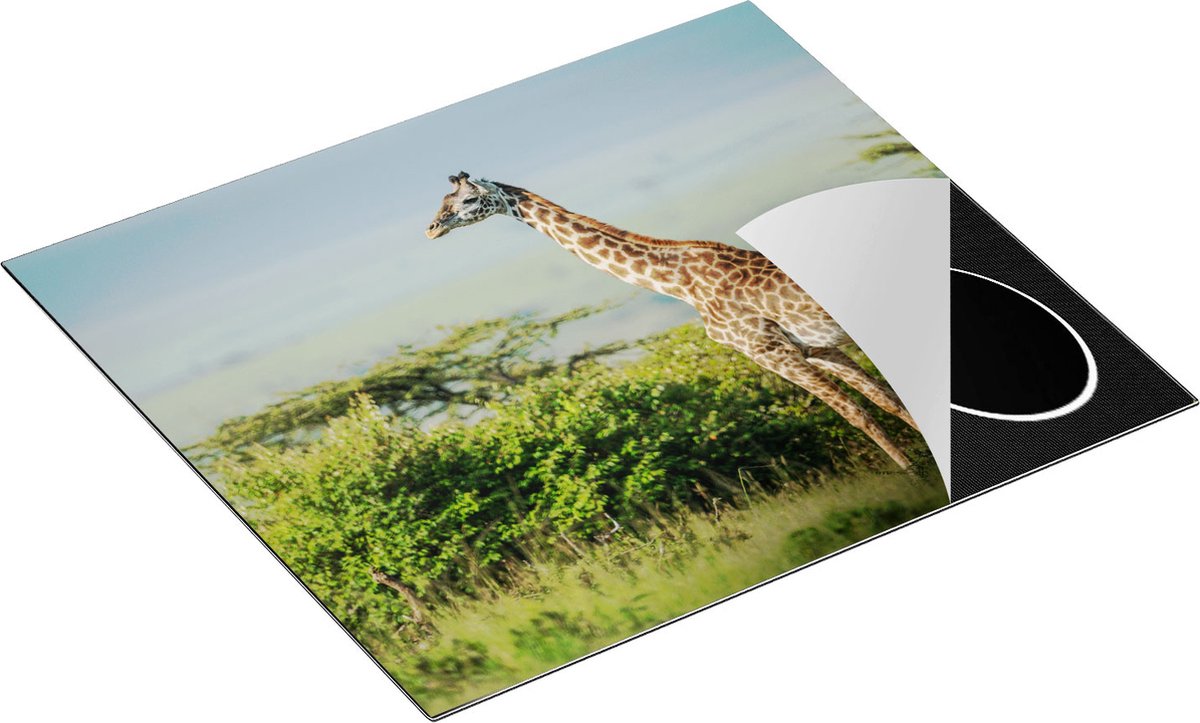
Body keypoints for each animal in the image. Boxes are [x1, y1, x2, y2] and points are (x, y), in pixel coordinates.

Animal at [426, 172, 919, 468]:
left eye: (469, 198)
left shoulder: (768, 350)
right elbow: (887, 401)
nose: (432, 228)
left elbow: (857, 412)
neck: (678, 282)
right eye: (442, 199)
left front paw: (911, 475)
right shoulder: (814, 346)